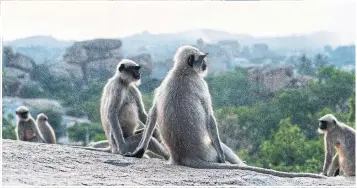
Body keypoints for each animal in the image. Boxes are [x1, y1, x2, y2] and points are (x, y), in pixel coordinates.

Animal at [126, 44, 324, 178]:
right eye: (201, 59)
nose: (205, 65)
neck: (182, 72)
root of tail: (185, 156)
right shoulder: (201, 84)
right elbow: (210, 119)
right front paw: (222, 158)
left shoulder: (164, 82)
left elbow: (152, 113)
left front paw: (138, 152)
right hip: (208, 152)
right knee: (219, 143)